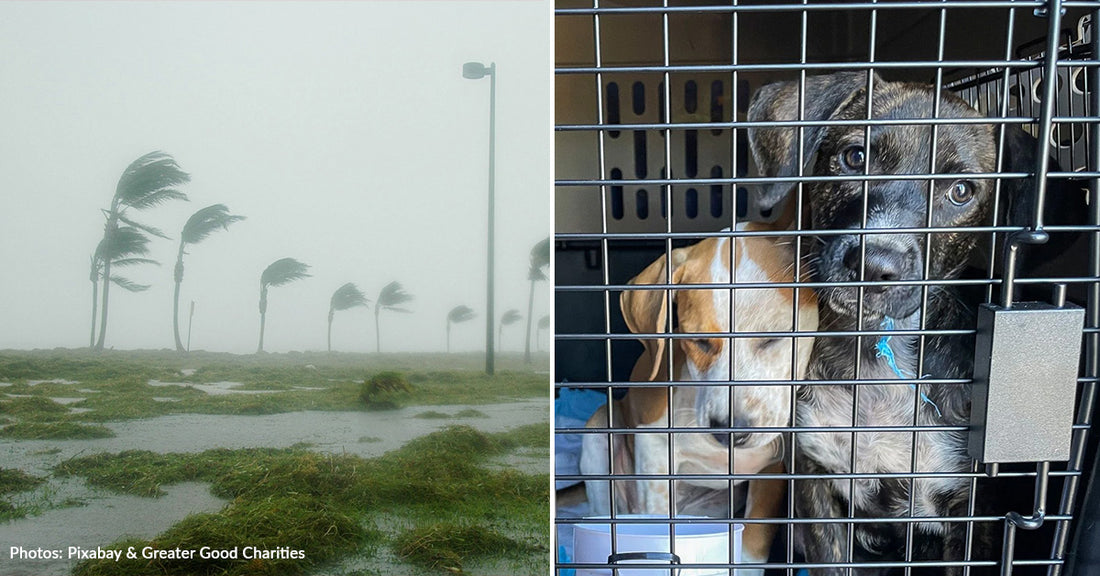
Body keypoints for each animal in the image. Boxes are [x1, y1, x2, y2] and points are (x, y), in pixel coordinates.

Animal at [580, 218, 814, 571]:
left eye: (774, 338)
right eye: (699, 341)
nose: (731, 430)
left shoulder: (772, 469)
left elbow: (752, 546)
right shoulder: (654, 449)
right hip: (598, 432)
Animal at [748, 73, 998, 576]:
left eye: (961, 191)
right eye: (855, 157)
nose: (875, 264)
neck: (875, 353)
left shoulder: (966, 507)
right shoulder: (814, 481)